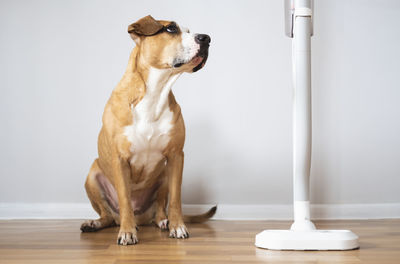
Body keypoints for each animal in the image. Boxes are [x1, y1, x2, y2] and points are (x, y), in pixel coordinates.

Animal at [79, 14, 216, 245]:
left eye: (189, 31)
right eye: (171, 29)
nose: (206, 38)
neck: (155, 92)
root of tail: (142, 217)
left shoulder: (176, 156)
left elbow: (176, 199)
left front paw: (178, 227)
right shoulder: (119, 159)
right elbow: (125, 199)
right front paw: (127, 232)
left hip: (164, 174)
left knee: (160, 208)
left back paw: (163, 221)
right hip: (93, 175)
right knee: (108, 216)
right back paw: (97, 223)